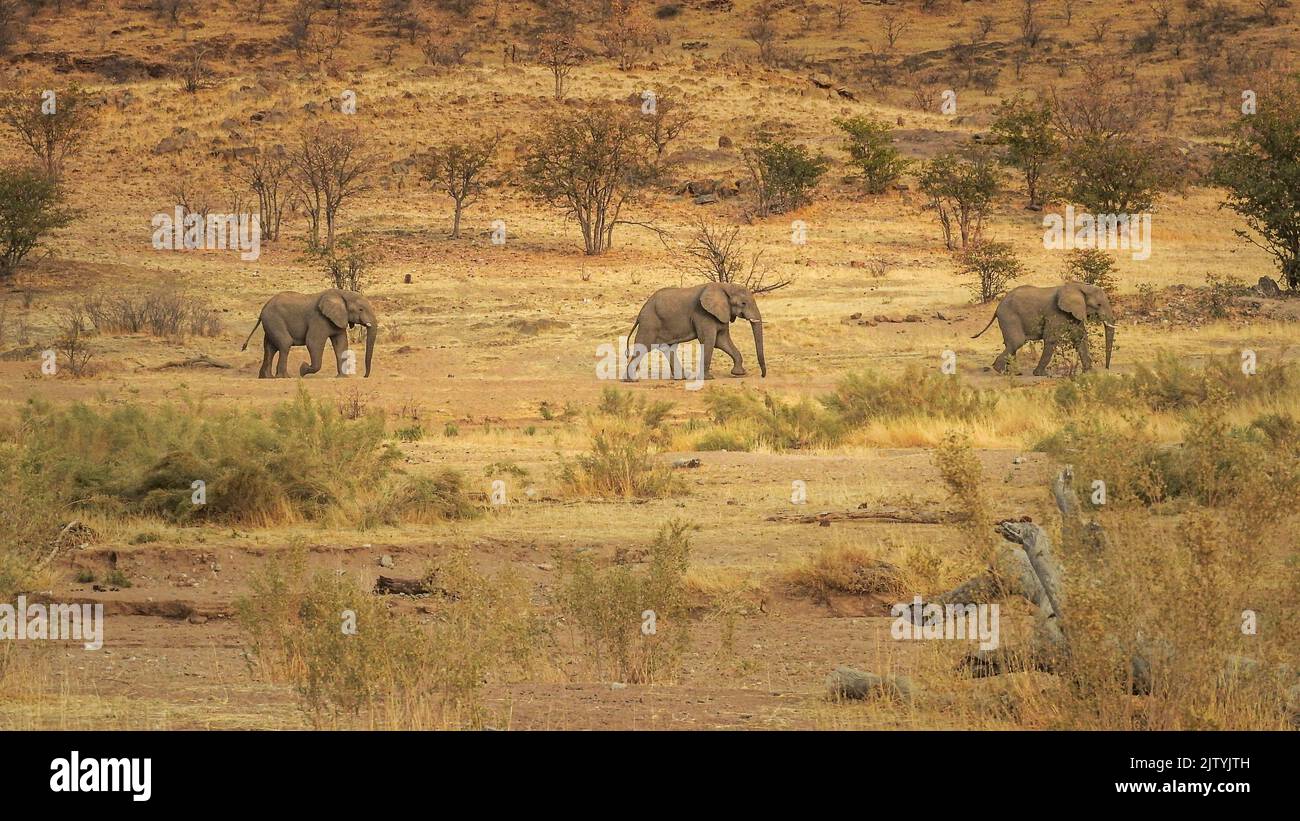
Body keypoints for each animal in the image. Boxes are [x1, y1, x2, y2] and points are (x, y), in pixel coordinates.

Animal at [241, 288, 379, 379]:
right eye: (361, 309)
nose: (365, 376)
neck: (342, 293)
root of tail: (263, 309)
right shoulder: (319, 318)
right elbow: (313, 343)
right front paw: (302, 369)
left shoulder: (338, 320)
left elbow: (341, 345)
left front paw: (342, 378)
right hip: (274, 320)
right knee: (285, 343)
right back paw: (284, 377)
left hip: (270, 323)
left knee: (270, 348)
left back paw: (266, 377)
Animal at [621, 280, 759, 384]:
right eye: (743, 303)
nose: (762, 374)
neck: (725, 286)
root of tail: (640, 312)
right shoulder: (703, 314)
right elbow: (709, 341)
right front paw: (708, 379)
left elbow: (722, 341)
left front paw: (739, 374)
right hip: (649, 323)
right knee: (643, 347)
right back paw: (631, 381)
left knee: (669, 348)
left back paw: (681, 378)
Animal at [977, 280, 1118, 374]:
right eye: (1099, 304)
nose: (1107, 368)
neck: (1079, 286)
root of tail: (997, 308)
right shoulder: (1056, 312)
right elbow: (1051, 339)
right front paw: (1040, 374)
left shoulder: (1073, 313)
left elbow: (1080, 337)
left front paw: (1089, 372)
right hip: (1009, 317)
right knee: (1017, 342)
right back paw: (1000, 370)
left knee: (1011, 344)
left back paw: (1013, 372)